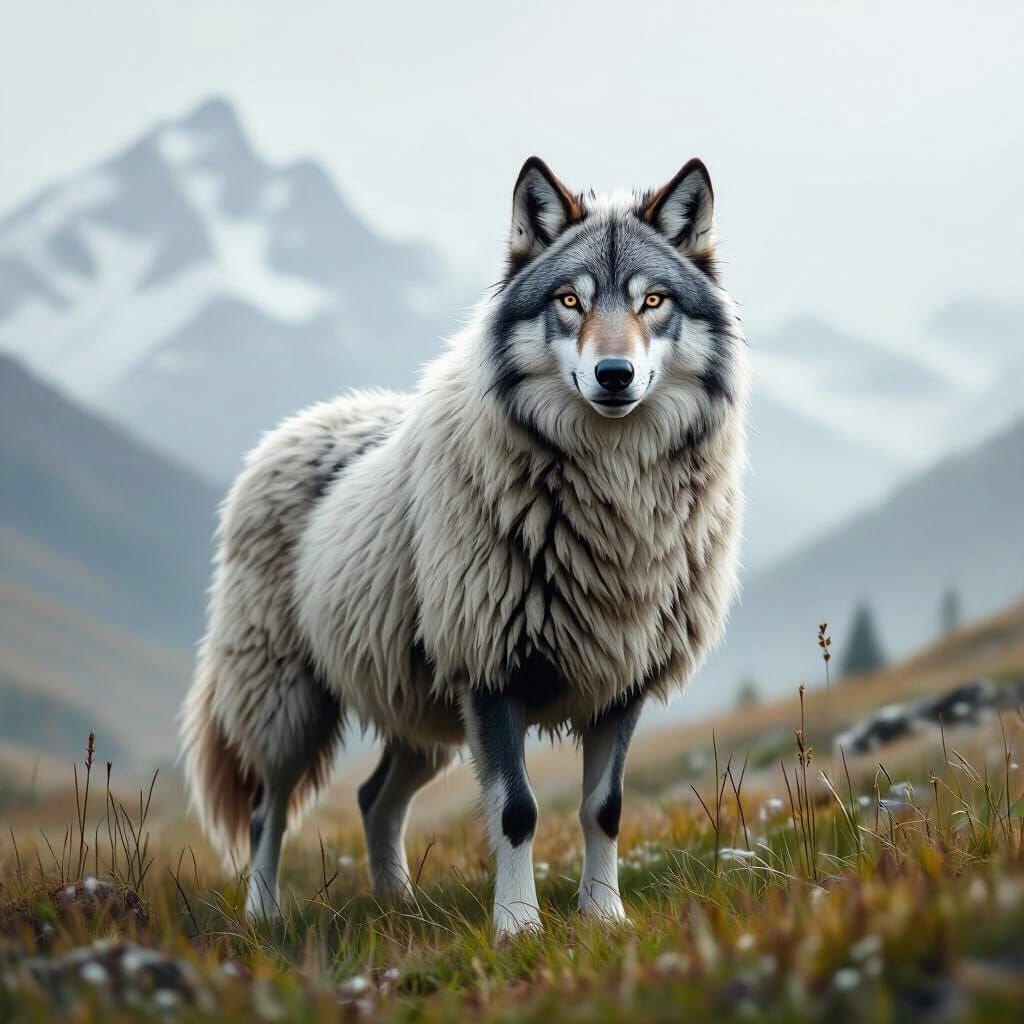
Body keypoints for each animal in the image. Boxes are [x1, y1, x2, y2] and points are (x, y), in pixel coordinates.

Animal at [181, 156, 748, 937]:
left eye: (653, 300)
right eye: (569, 300)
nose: (614, 376)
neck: (614, 493)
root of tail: (294, 427)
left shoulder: (622, 680)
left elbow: (603, 810)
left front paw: (605, 917)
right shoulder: (491, 672)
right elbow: (516, 812)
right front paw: (518, 926)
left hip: (424, 722)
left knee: (374, 799)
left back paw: (399, 905)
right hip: (288, 705)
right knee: (270, 811)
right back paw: (264, 916)